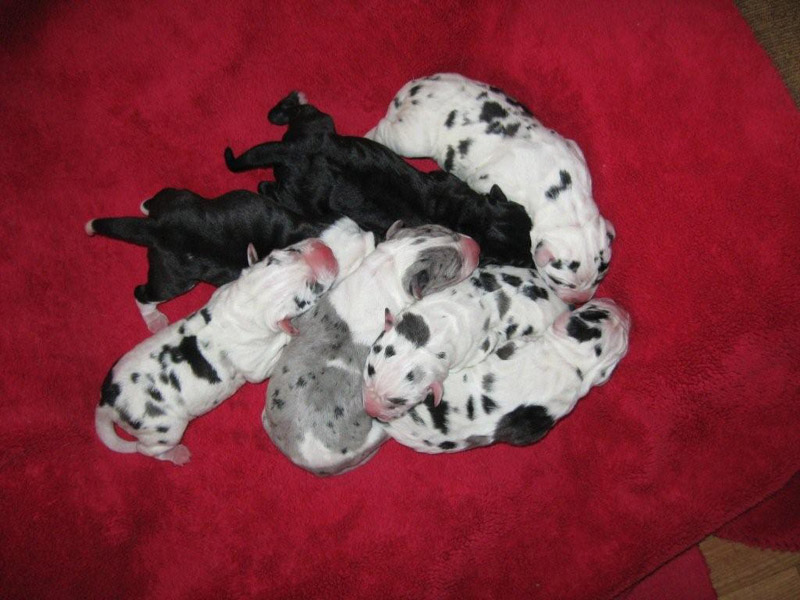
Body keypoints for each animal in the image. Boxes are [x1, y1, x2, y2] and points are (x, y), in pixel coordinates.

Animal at [86, 188, 350, 332]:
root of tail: (157, 227)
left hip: (181, 198)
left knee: (157, 199)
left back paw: (145, 206)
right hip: (174, 279)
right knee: (142, 294)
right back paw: (154, 319)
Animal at [94, 229, 374, 465]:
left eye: (292, 250)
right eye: (313, 287)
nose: (324, 250)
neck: (248, 303)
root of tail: (108, 403)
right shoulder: (257, 367)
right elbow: (277, 349)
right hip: (164, 430)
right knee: (147, 449)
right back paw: (176, 454)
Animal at [223, 91, 534, 268]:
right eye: (515, 260)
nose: (532, 263)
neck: (472, 214)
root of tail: (297, 150)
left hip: (318, 124)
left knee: (295, 112)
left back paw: (290, 103)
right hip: (299, 197)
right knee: (270, 188)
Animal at [366, 73, 616, 304]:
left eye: (599, 277)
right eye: (560, 281)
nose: (580, 301)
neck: (566, 199)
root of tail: (412, 90)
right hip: (409, 139)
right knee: (383, 129)